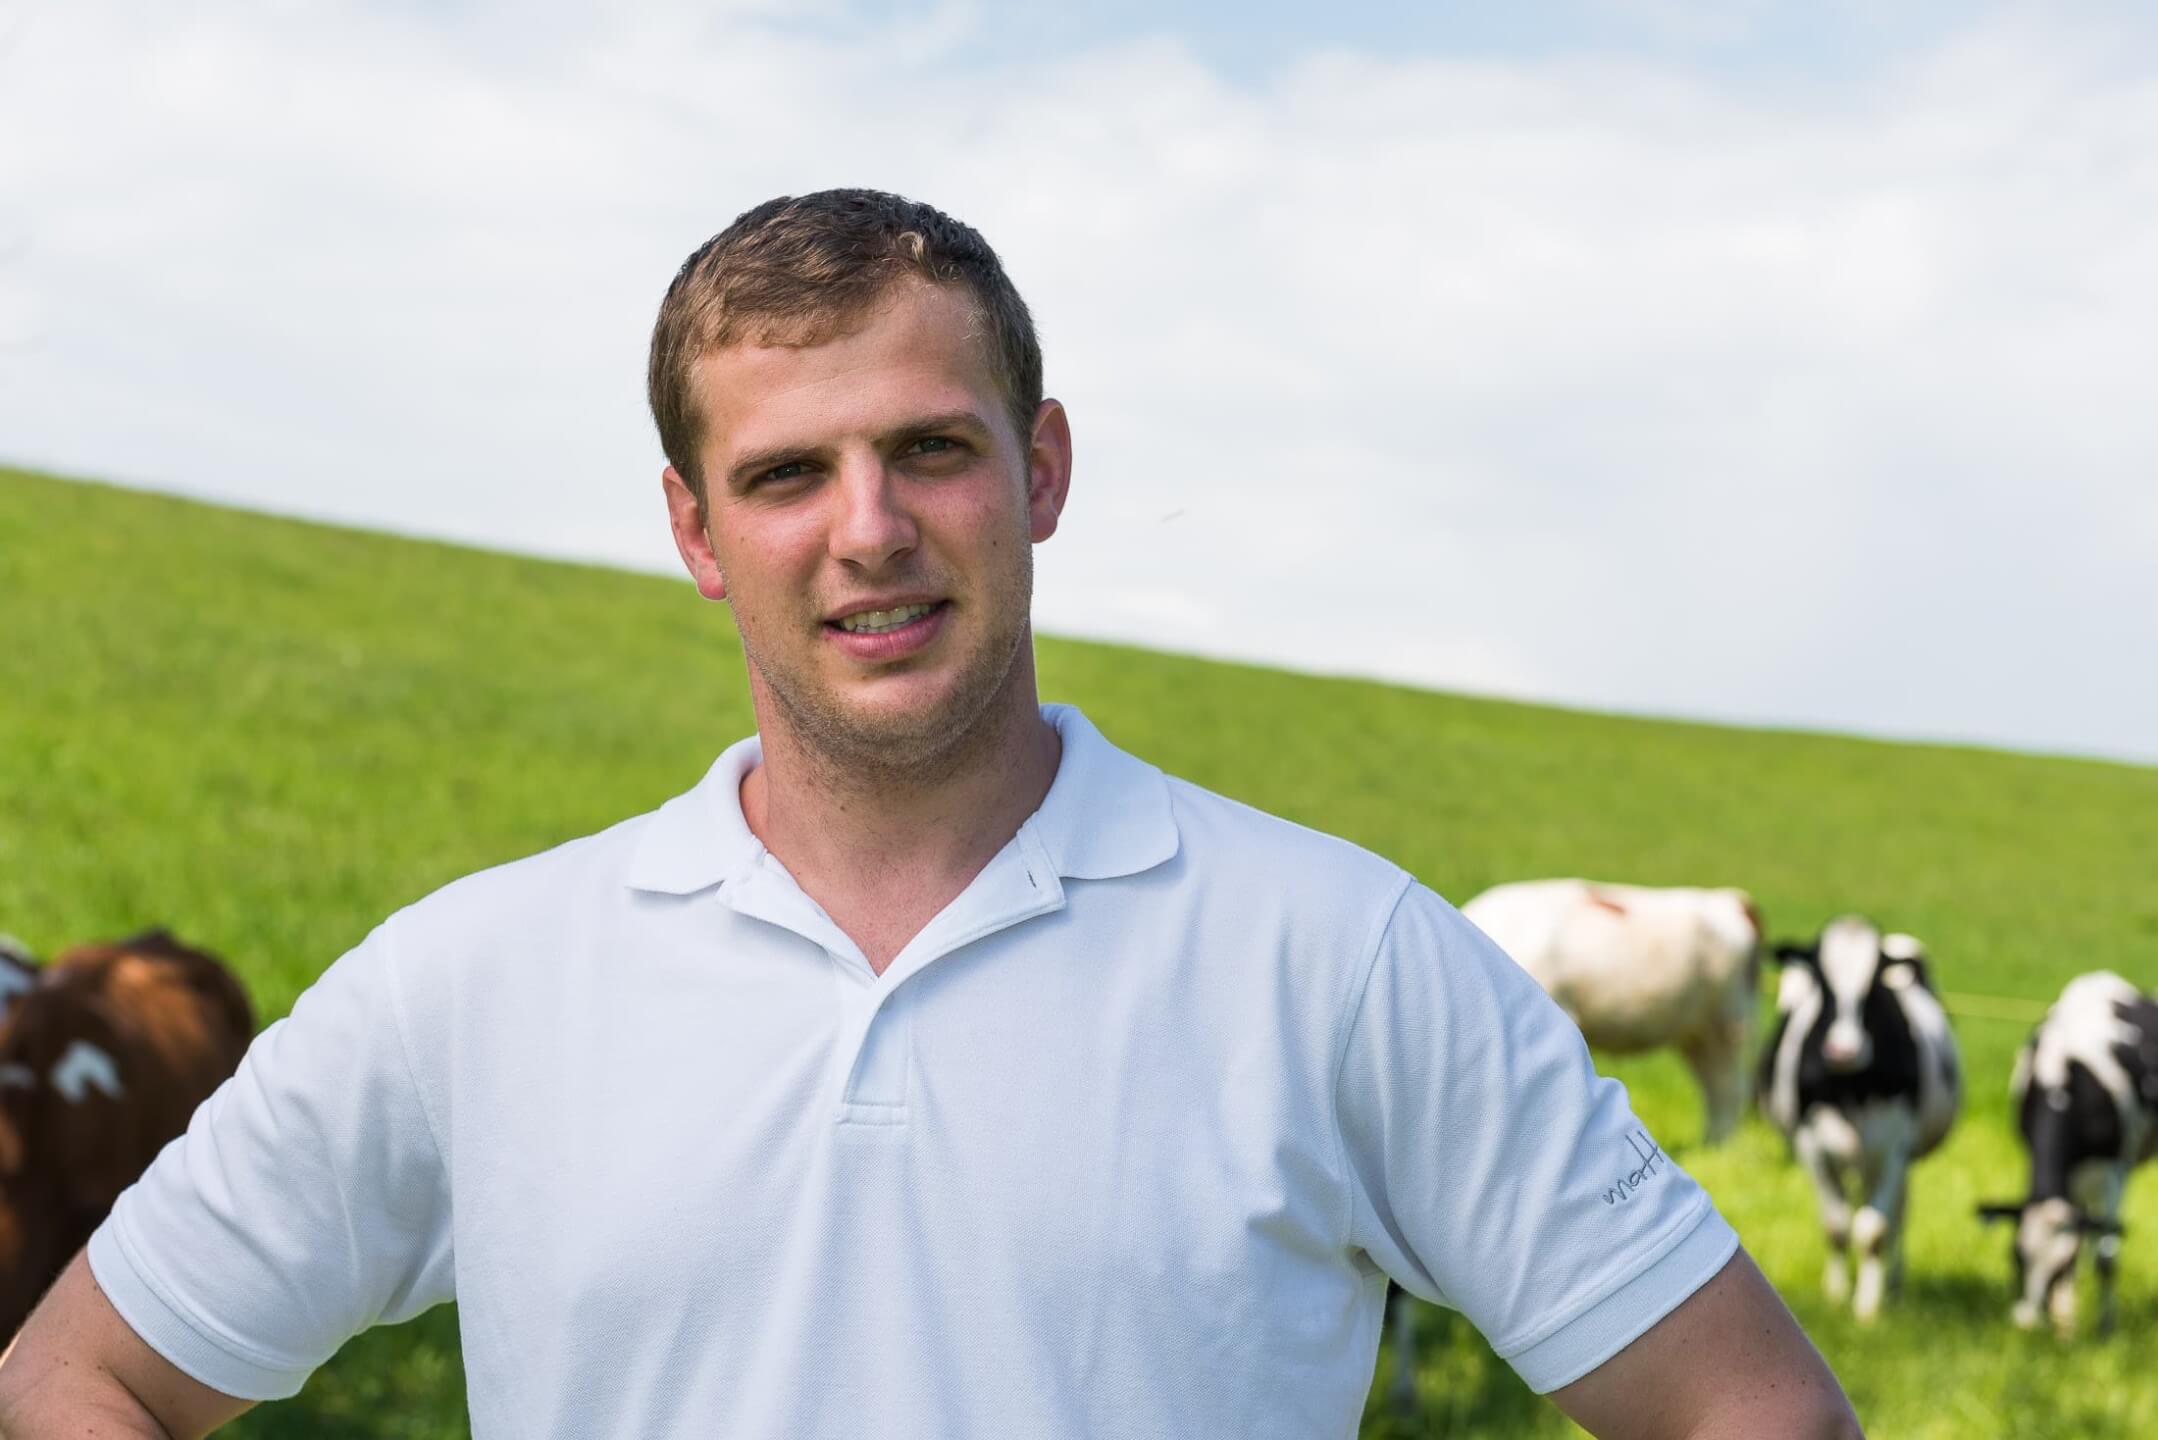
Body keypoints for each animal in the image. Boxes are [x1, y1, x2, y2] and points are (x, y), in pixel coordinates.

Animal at [1460, 879, 1763, 1145]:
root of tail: (1730, 899)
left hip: (1727, 1022)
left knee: (1728, 1087)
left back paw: (1718, 1148)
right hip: (1696, 1034)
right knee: (1712, 1085)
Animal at [1757, 916, 1960, 1322]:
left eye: (1875, 985)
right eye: (1822, 981)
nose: (1843, 1050)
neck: (1850, 1087)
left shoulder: (1893, 1148)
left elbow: (1873, 1230)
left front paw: (1867, 1307)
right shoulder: (1812, 1146)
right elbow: (1836, 1226)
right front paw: (1836, 1294)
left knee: (1898, 1214)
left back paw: (1894, 1285)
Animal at [1977, 971, 2158, 1337]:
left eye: (2058, 1268)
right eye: (2015, 1256)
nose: (2025, 1322)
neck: (2061, 1078)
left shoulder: (2113, 1170)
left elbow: (2106, 1257)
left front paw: (2104, 1329)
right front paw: (2065, 1325)